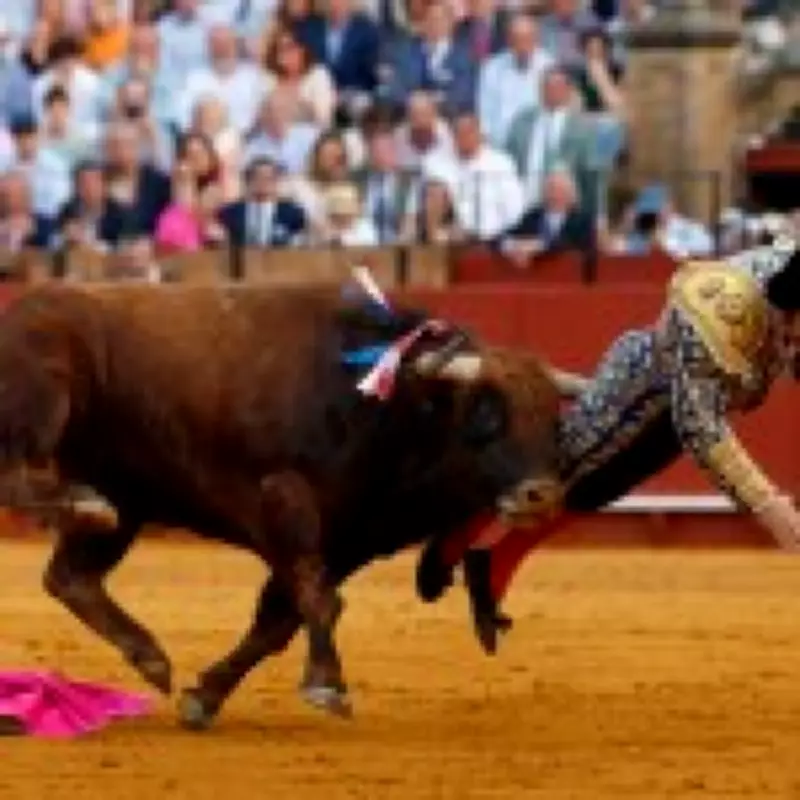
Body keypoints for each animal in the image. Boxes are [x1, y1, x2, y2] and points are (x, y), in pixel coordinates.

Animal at [0, 280, 565, 729]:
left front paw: (204, 697)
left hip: (129, 497)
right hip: (48, 404)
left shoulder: (348, 540)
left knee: (70, 577)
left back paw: (151, 656)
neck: (384, 406)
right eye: (485, 412)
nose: (541, 494)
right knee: (17, 480)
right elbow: (317, 597)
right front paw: (327, 684)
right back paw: (82, 504)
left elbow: (278, 620)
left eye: (552, 421)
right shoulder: (284, 501)